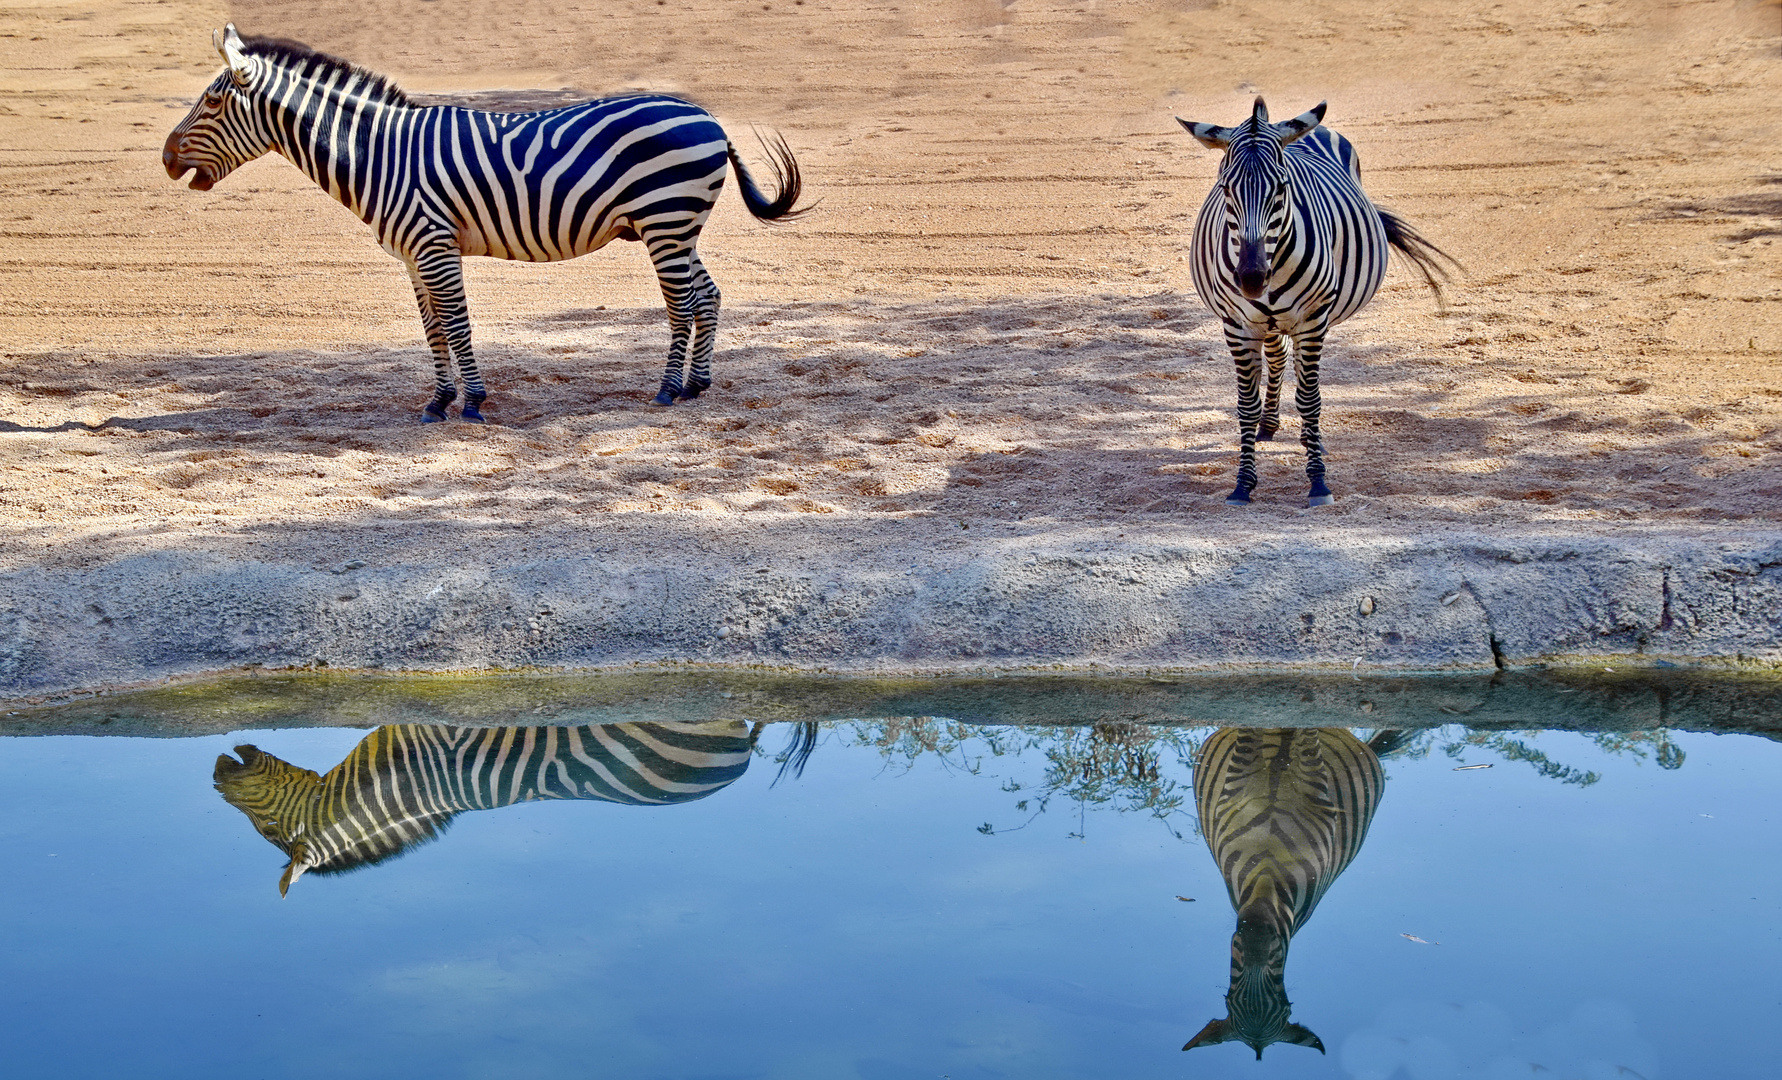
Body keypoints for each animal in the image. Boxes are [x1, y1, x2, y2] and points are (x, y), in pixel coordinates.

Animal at [165, 24, 809, 424]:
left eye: (214, 103)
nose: (166, 159)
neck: (379, 155)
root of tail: (709, 117)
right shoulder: (413, 255)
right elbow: (432, 331)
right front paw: (438, 401)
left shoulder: (434, 244)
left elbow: (457, 324)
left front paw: (472, 402)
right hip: (677, 226)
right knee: (708, 294)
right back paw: (697, 384)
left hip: (666, 221)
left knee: (682, 304)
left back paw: (669, 389)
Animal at [1176, 99, 1454, 509]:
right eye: (1225, 188)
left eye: (1281, 188)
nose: (1251, 279)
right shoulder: (1238, 325)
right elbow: (1246, 405)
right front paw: (1243, 484)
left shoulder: (1311, 320)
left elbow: (1310, 400)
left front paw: (1318, 481)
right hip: (1269, 323)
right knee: (1278, 358)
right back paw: (1271, 424)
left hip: (1314, 317)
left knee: (1302, 378)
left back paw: (1311, 439)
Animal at [1183, 730, 1404, 1062]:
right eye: (1229, 999)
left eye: (1283, 1005)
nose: (1257, 930)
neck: (1265, 867)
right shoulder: (1234, 786)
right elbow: (1248, 744)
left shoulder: (1316, 789)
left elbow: (1308, 750)